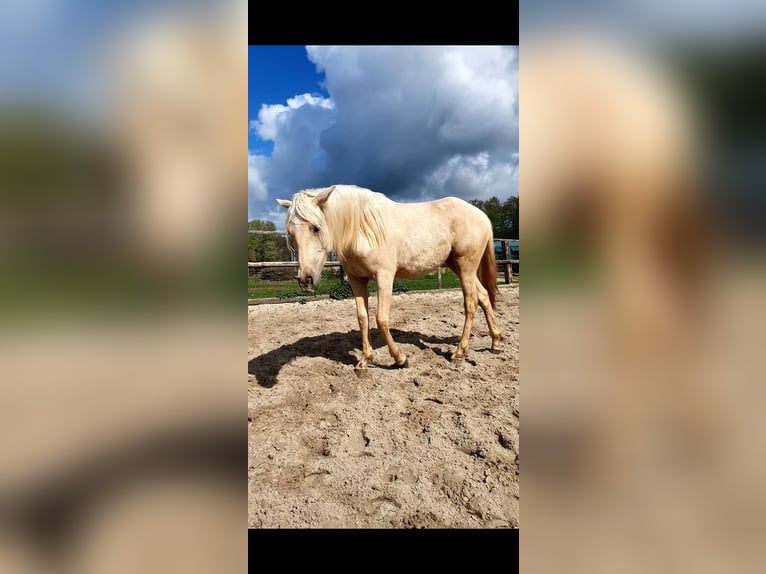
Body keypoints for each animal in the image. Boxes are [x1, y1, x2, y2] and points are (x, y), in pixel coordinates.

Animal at [276, 184, 503, 372]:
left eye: (316, 228)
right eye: (290, 233)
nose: (306, 280)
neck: (361, 230)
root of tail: (481, 215)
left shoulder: (384, 277)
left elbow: (381, 319)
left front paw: (400, 359)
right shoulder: (357, 280)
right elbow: (363, 318)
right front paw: (364, 361)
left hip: (466, 266)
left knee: (471, 303)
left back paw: (459, 353)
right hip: (458, 266)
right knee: (483, 296)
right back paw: (495, 342)